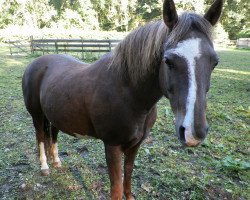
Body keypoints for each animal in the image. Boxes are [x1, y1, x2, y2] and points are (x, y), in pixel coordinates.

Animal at [22, 0, 224, 199]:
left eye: (215, 62)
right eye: (168, 60)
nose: (194, 132)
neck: (129, 93)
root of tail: (36, 63)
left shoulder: (135, 145)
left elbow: (128, 177)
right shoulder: (112, 147)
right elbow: (117, 189)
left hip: (54, 115)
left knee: (53, 134)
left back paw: (56, 161)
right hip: (36, 116)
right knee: (40, 137)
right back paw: (45, 166)